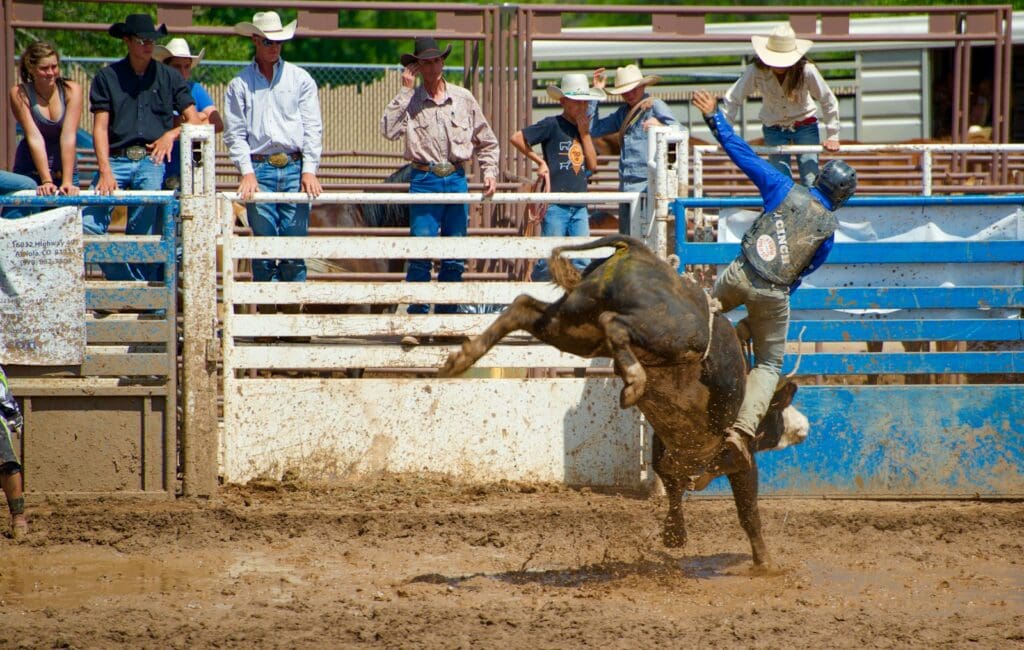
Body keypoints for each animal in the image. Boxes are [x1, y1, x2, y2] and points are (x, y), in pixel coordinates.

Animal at [440, 235, 806, 565]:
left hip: (573, 324)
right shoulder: (741, 462)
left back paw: (462, 358)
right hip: (670, 334)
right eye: (779, 413)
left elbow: (674, 488)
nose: (802, 428)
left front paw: (674, 533)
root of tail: (639, 251)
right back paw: (633, 381)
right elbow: (747, 511)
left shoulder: (668, 455)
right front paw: (765, 564)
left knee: (524, 305)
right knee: (612, 324)